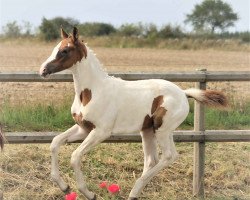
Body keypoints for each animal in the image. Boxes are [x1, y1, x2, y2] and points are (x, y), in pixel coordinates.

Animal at [39, 27, 227, 200]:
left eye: (65, 50)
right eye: (55, 48)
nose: (43, 70)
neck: (92, 91)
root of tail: (183, 92)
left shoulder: (101, 132)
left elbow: (75, 156)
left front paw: (88, 193)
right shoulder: (83, 128)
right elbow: (55, 142)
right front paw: (64, 187)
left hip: (163, 130)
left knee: (168, 156)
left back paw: (134, 191)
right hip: (148, 130)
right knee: (152, 159)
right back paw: (135, 193)